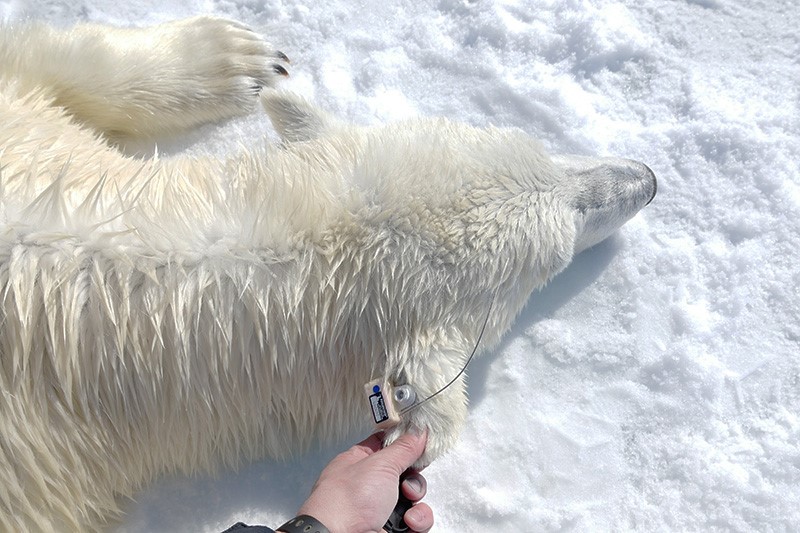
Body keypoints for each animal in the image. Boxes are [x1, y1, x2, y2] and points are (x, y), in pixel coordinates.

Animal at [0, 15, 656, 531]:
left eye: (545, 150)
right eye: (565, 238)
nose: (647, 178)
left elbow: (43, 71)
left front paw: (246, 64)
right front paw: (239, 58)